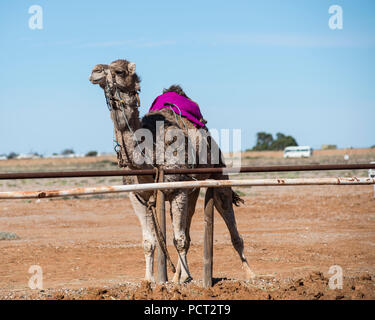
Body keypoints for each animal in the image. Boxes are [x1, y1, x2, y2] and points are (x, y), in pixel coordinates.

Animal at [90, 59, 256, 282]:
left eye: (119, 71)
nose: (95, 72)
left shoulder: (178, 190)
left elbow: (179, 240)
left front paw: (174, 281)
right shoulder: (138, 196)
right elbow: (149, 242)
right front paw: (149, 280)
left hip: (218, 176)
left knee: (229, 224)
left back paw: (250, 274)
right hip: (192, 188)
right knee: (188, 225)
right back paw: (182, 275)